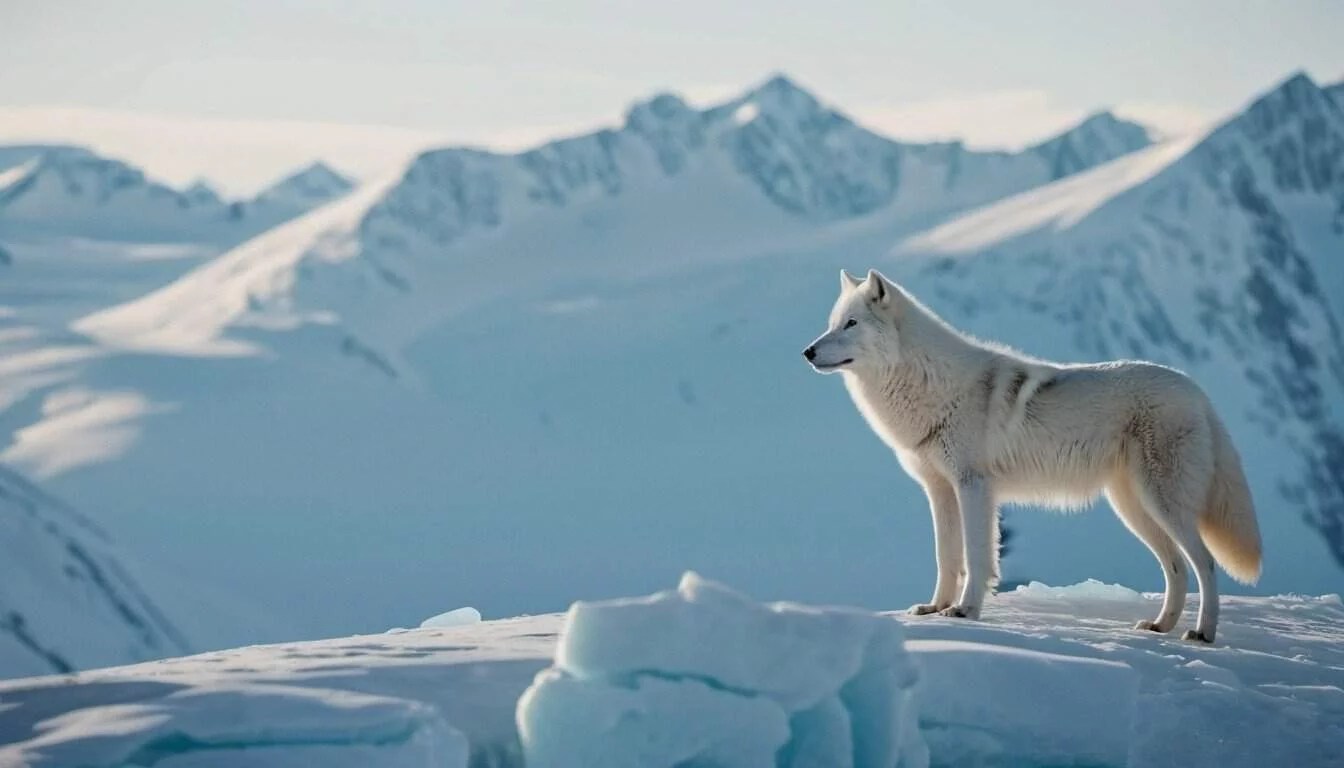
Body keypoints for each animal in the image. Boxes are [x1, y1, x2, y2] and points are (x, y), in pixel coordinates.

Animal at [803, 269, 1262, 643]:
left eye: (851, 324)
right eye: (832, 324)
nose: (807, 352)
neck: (929, 383)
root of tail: (1197, 391)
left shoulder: (974, 487)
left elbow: (976, 557)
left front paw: (965, 611)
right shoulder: (939, 491)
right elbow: (946, 558)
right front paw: (935, 608)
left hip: (1164, 505)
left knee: (1205, 564)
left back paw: (1202, 633)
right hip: (1134, 509)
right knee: (1177, 568)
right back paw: (1160, 626)